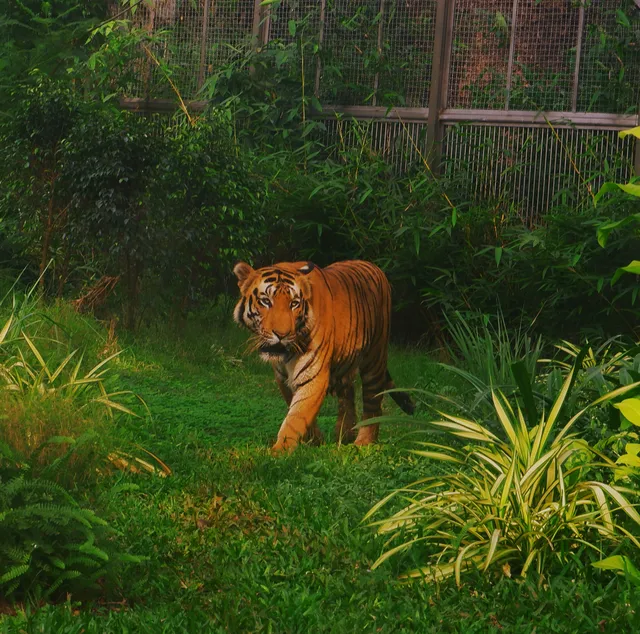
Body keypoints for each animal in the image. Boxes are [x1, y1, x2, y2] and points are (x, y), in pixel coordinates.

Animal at [233, 259, 415, 452]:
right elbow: (297, 408)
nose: (282, 334)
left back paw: (363, 441)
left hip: (375, 357)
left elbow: (296, 416)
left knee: (372, 401)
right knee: (348, 394)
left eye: (294, 304)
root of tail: (374, 266)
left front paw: (280, 450)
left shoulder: (313, 375)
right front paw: (314, 440)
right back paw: (345, 434)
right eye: (266, 301)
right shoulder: (282, 377)